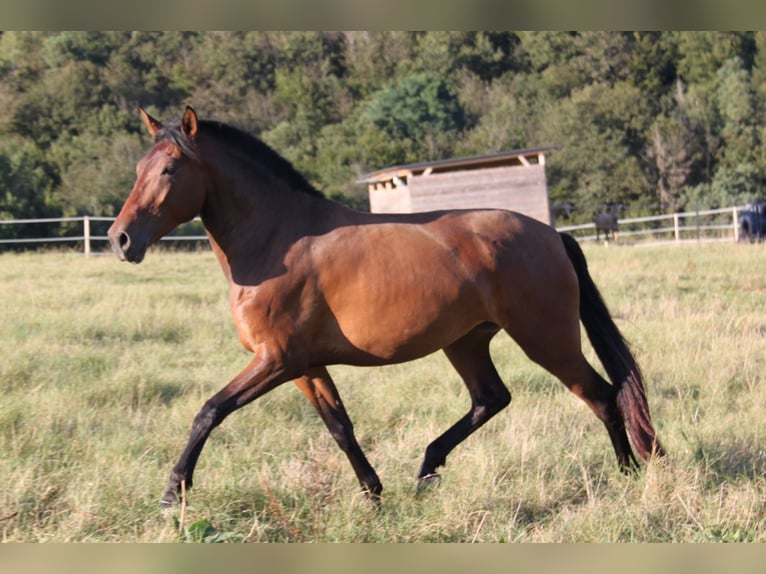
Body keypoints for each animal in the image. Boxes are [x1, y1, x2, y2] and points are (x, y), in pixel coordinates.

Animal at [106, 106, 664, 510]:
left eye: (169, 169)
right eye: (137, 169)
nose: (120, 239)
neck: (276, 240)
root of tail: (554, 236)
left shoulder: (275, 360)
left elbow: (209, 411)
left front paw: (172, 494)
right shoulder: (305, 366)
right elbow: (340, 428)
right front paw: (373, 495)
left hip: (546, 339)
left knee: (602, 396)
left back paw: (627, 475)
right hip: (466, 341)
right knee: (491, 398)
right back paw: (427, 468)